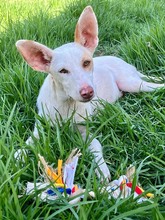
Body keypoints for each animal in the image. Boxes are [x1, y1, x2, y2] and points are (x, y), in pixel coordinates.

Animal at [15, 6, 164, 180]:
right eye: (63, 71)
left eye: (86, 63)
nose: (88, 92)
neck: (65, 104)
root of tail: (126, 64)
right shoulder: (41, 124)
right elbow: (29, 141)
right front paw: (19, 156)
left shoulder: (84, 128)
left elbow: (95, 143)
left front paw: (101, 167)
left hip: (132, 83)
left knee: (157, 85)